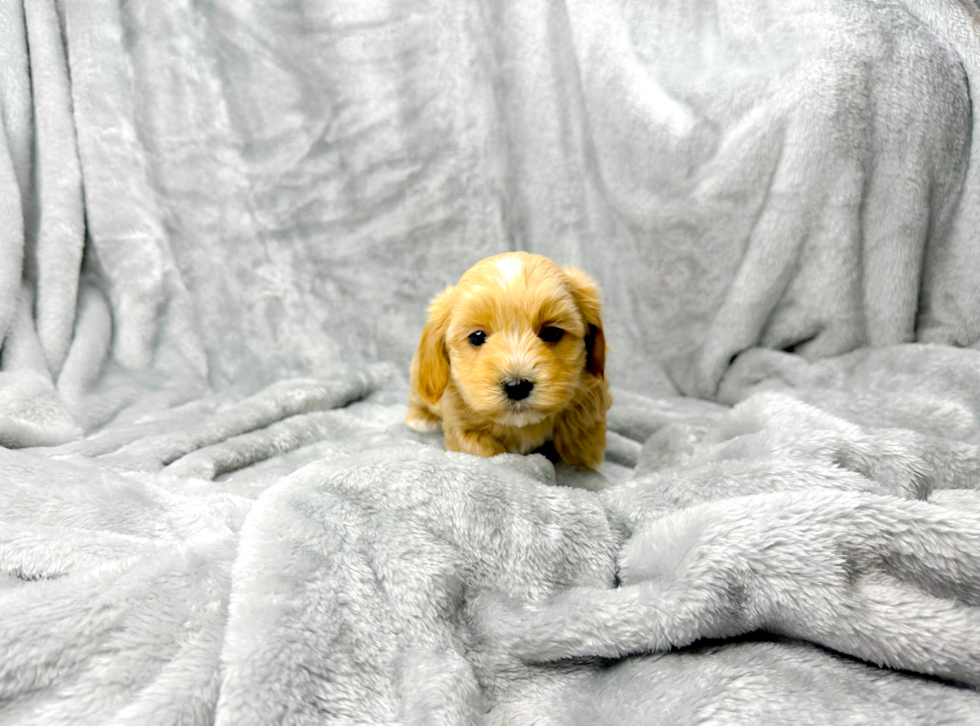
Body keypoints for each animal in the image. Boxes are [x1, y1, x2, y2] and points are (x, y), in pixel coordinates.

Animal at [402, 253, 608, 472]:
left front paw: (585, 457)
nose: (517, 386)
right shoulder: (460, 420)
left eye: (553, 333)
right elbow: (481, 448)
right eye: (477, 337)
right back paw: (420, 420)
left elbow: (584, 423)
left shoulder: (589, 388)